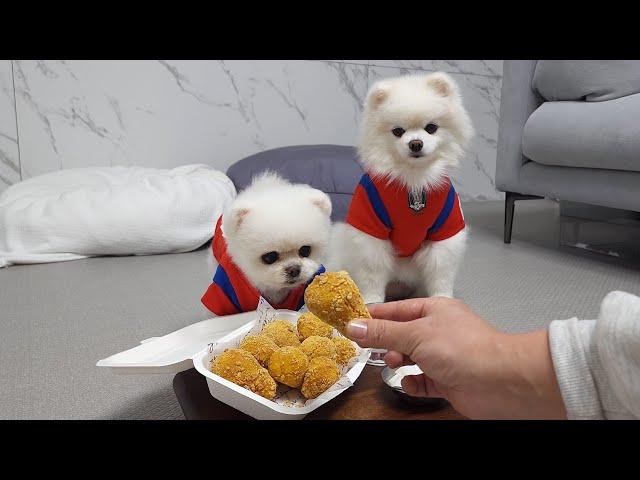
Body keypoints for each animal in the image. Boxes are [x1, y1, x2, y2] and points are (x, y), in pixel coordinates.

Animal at [330, 72, 476, 304]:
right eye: (397, 131)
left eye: (431, 128)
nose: (415, 143)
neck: (413, 181)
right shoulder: (371, 229)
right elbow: (372, 272)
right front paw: (372, 301)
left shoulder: (445, 230)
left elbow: (441, 273)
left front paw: (442, 300)